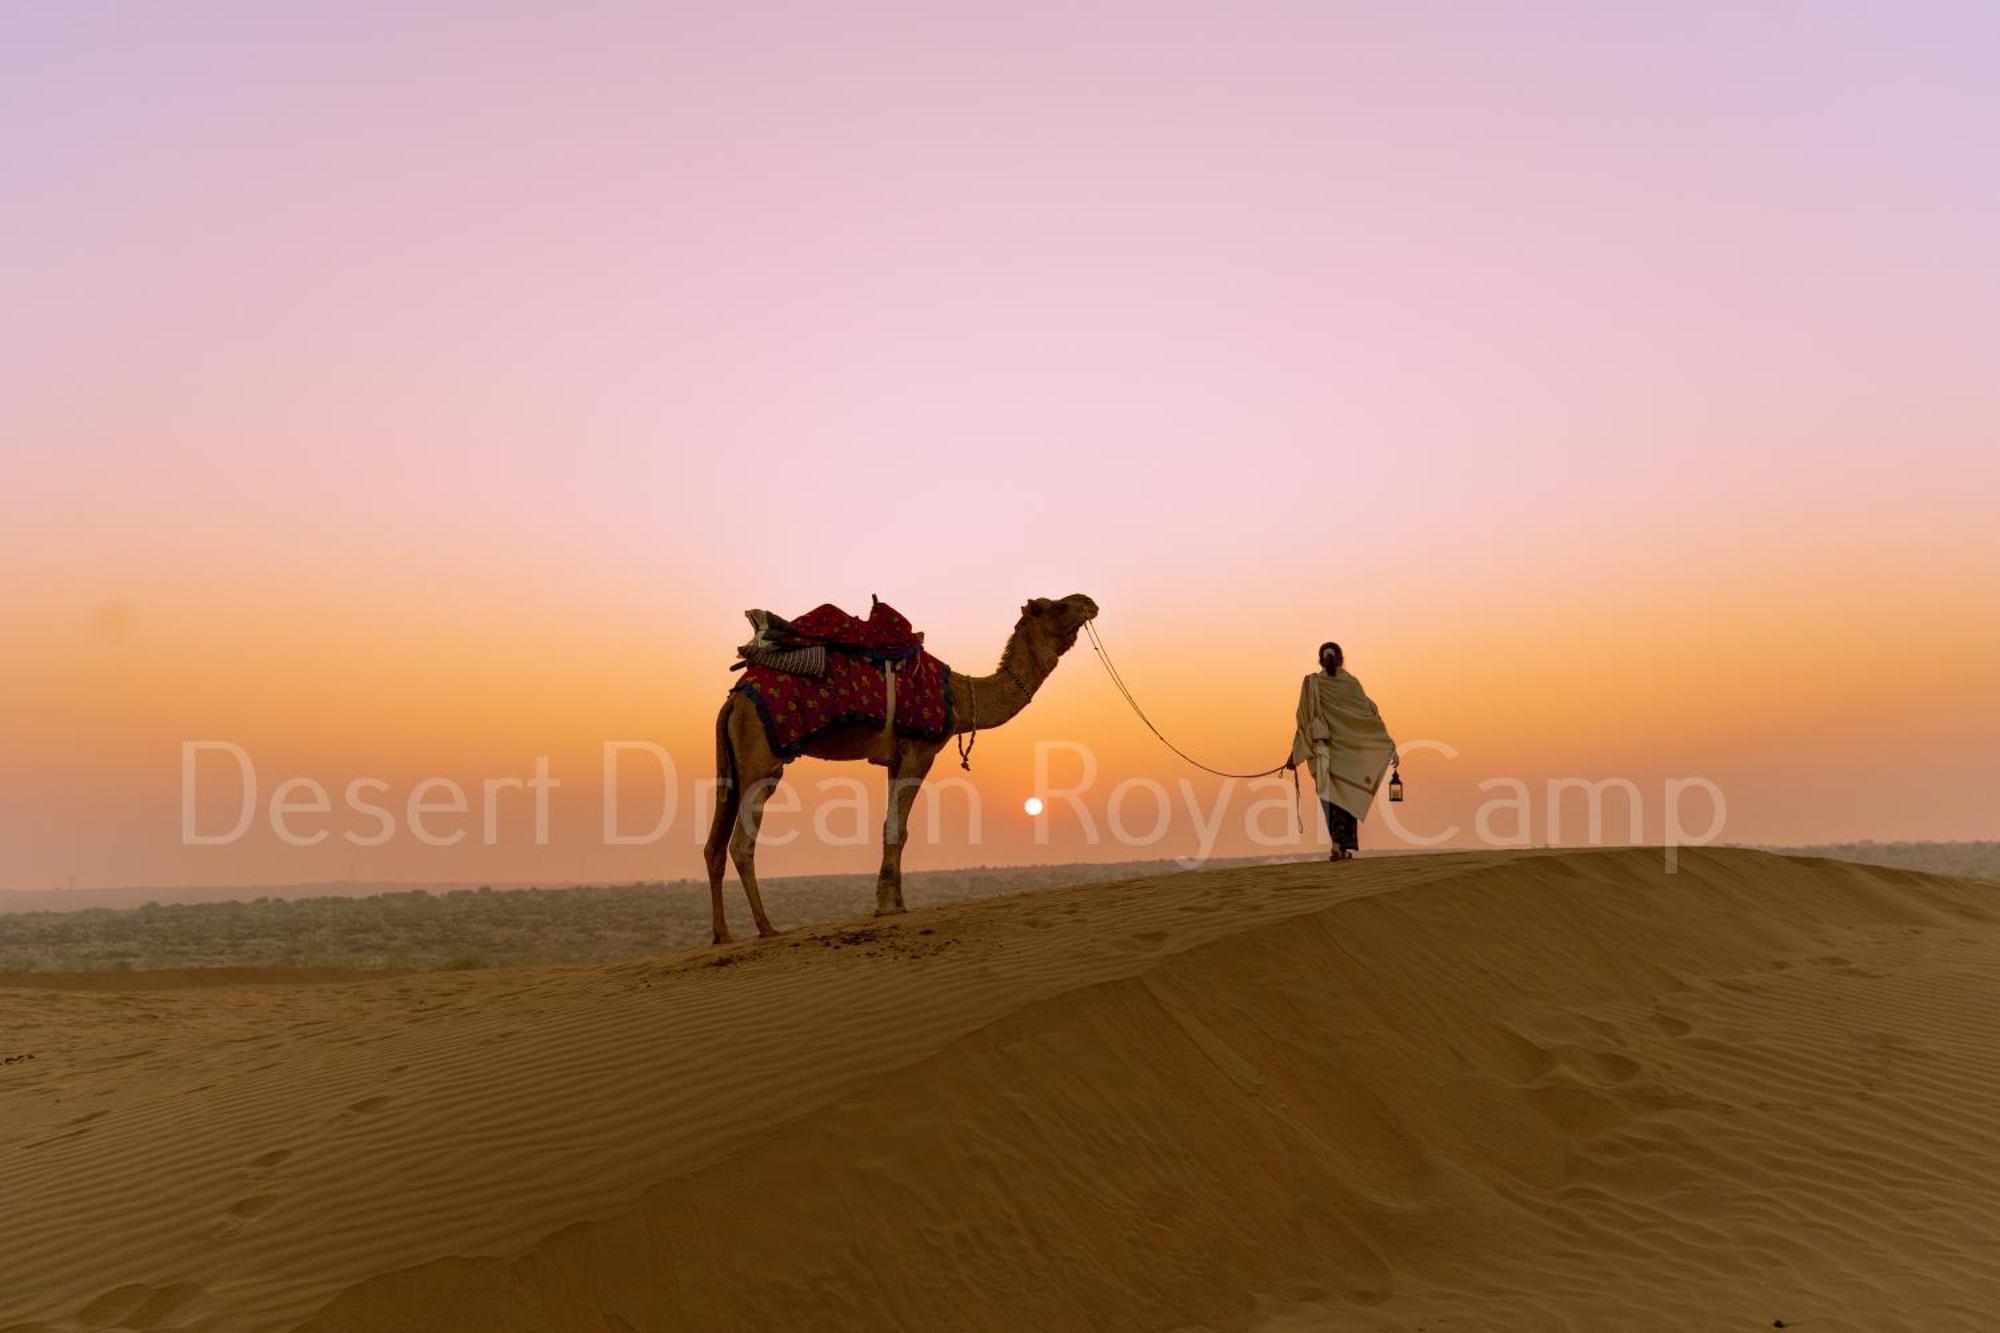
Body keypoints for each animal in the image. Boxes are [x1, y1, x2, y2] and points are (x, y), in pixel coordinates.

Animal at [704, 588, 1104, 940]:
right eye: (1056, 606)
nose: (1089, 601)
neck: (959, 697)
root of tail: (733, 700)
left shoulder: (895, 760)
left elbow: (893, 826)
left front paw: (891, 902)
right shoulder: (920, 750)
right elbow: (897, 828)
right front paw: (889, 907)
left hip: (731, 766)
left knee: (714, 844)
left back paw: (722, 934)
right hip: (762, 761)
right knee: (742, 842)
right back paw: (766, 928)